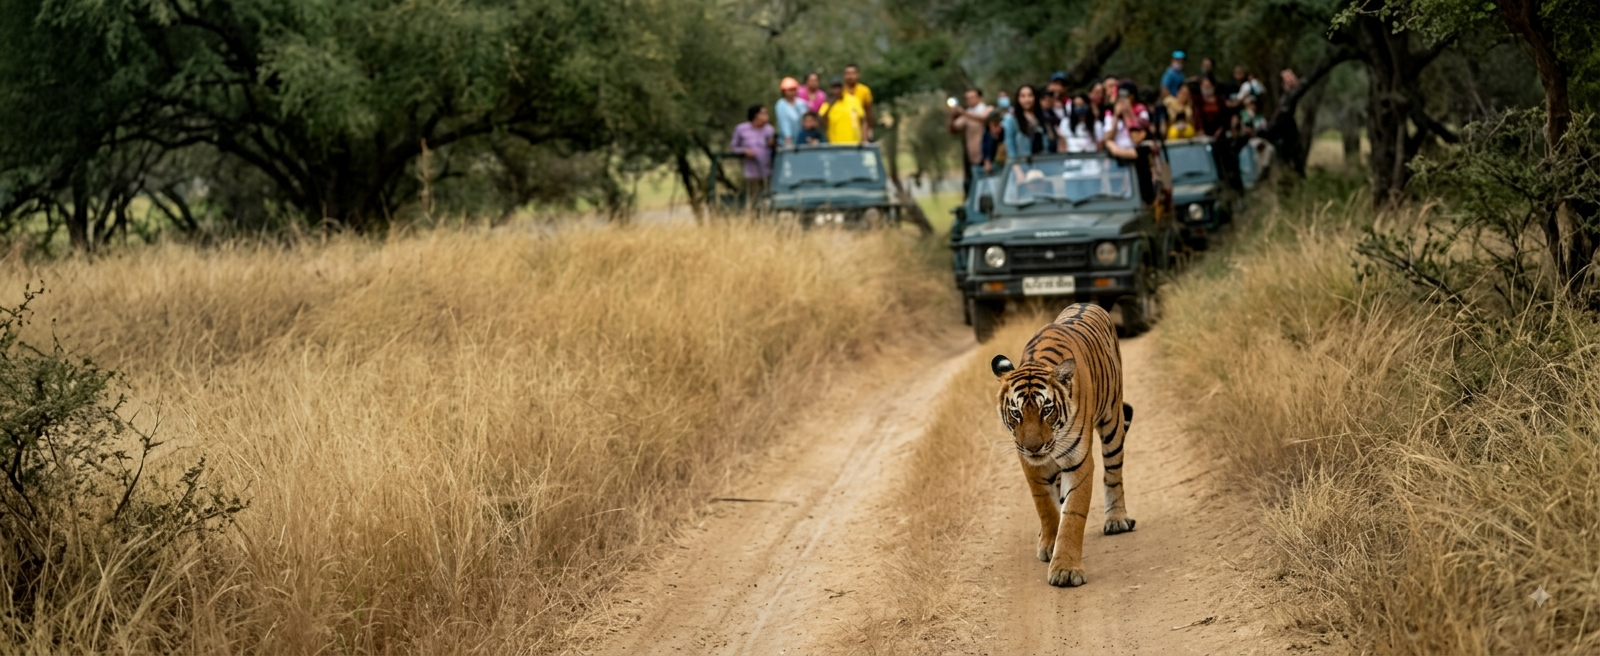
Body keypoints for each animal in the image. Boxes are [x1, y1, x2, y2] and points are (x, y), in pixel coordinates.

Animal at [990, 302, 1135, 588]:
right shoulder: (1031, 464)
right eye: (1016, 413)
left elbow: (1073, 515)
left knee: (1113, 473)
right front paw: (1049, 543)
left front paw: (1066, 569)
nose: (1034, 448)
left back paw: (1116, 519)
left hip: (1113, 421)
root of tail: (1087, 303)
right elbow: (1046, 507)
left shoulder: (1078, 461)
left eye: (1047, 410)